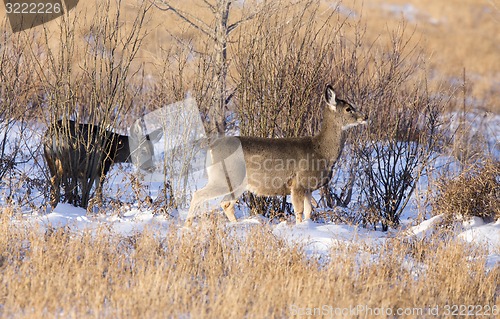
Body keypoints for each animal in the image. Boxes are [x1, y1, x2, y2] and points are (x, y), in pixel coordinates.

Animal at [187, 84, 368, 226]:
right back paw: (188, 226)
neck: (321, 150)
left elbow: (309, 212)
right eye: (348, 109)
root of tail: (211, 149)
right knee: (199, 195)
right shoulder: (297, 183)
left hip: (239, 183)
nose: (365, 116)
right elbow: (299, 212)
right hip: (224, 177)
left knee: (226, 204)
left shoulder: (309, 188)